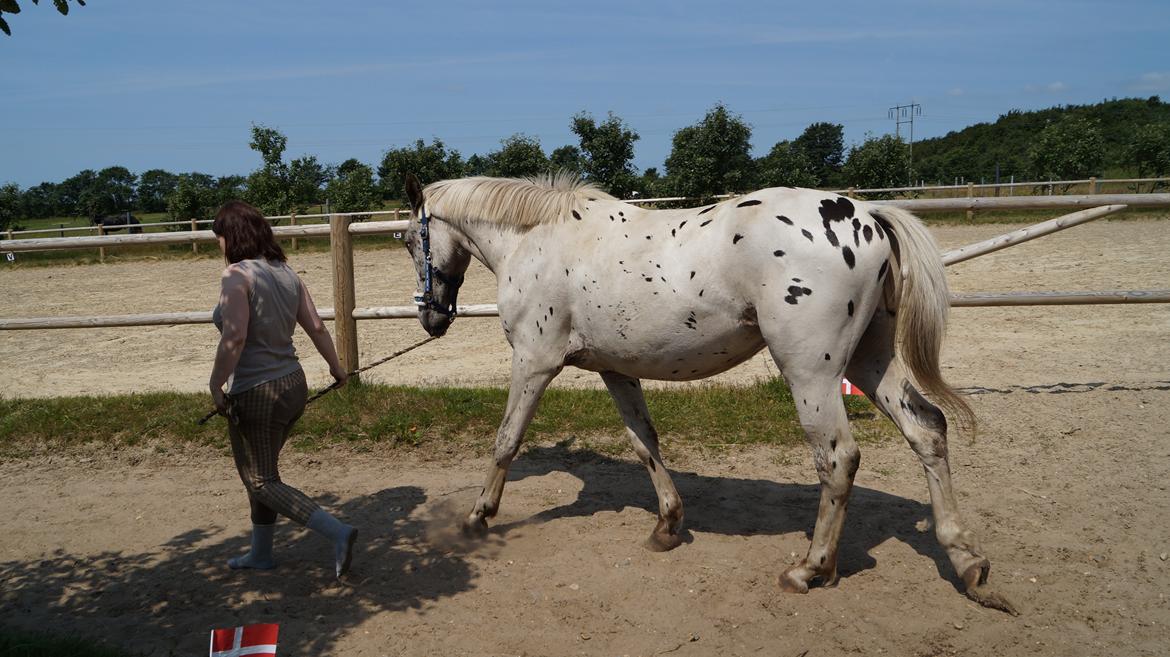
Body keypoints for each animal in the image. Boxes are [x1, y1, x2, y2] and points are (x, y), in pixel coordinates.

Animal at [400, 171, 1015, 612]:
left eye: (408, 239)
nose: (431, 317)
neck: (540, 239)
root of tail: (866, 216)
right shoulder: (615, 369)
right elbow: (644, 442)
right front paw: (668, 526)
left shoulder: (534, 362)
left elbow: (506, 440)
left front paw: (477, 519)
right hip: (870, 360)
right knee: (927, 429)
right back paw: (969, 566)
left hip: (812, 373)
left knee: (838, 458)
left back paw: (809, 569)